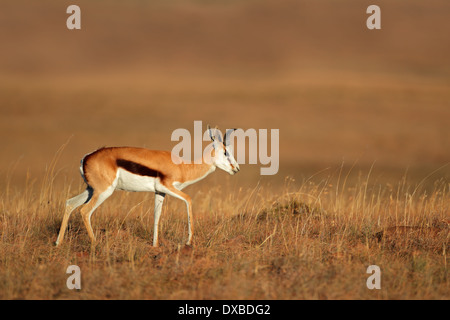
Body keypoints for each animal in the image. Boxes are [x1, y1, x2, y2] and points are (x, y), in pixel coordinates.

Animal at [55, 125, 239, 248]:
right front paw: (188, 241)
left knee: (70, 203)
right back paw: (95, 243)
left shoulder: (160, 192)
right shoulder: (169, 188)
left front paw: (155, 245)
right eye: (225, 152)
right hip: (103, 192)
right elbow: (189, 200)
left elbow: (157, 216)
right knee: (85, 211)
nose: (236, 168)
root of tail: (86, 157)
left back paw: (58, 242)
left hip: (91, 190)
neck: (182, 167)